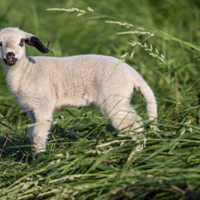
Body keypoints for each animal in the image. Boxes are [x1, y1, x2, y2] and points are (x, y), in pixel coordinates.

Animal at [0, 27, 158, 158]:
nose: (10, 56)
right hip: (121, 100)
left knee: (134, 128)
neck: (26, 71)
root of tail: (133, 74)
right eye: (0, 43)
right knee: (137, 121)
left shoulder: (42, 106)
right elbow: (32, 135)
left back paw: (133, 155)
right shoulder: (32, 110)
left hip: (113, 101)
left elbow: (37, 136)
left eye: (21, 42)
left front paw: (38, 160)